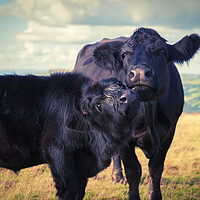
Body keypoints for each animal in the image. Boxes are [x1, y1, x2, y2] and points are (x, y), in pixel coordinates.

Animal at [0, 72, 141, 200]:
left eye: (119, 85)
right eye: (98, 105)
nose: (127, 96)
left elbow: (80, 192)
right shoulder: (57, 152)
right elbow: (69, 191)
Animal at [74, 27, 200, 199]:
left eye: (162, 51)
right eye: (124, 54)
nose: (140, 73)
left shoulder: (169, 133)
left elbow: (156, 168)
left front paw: (155, 195)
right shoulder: (126, 139)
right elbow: (133, 171)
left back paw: (117, 177)